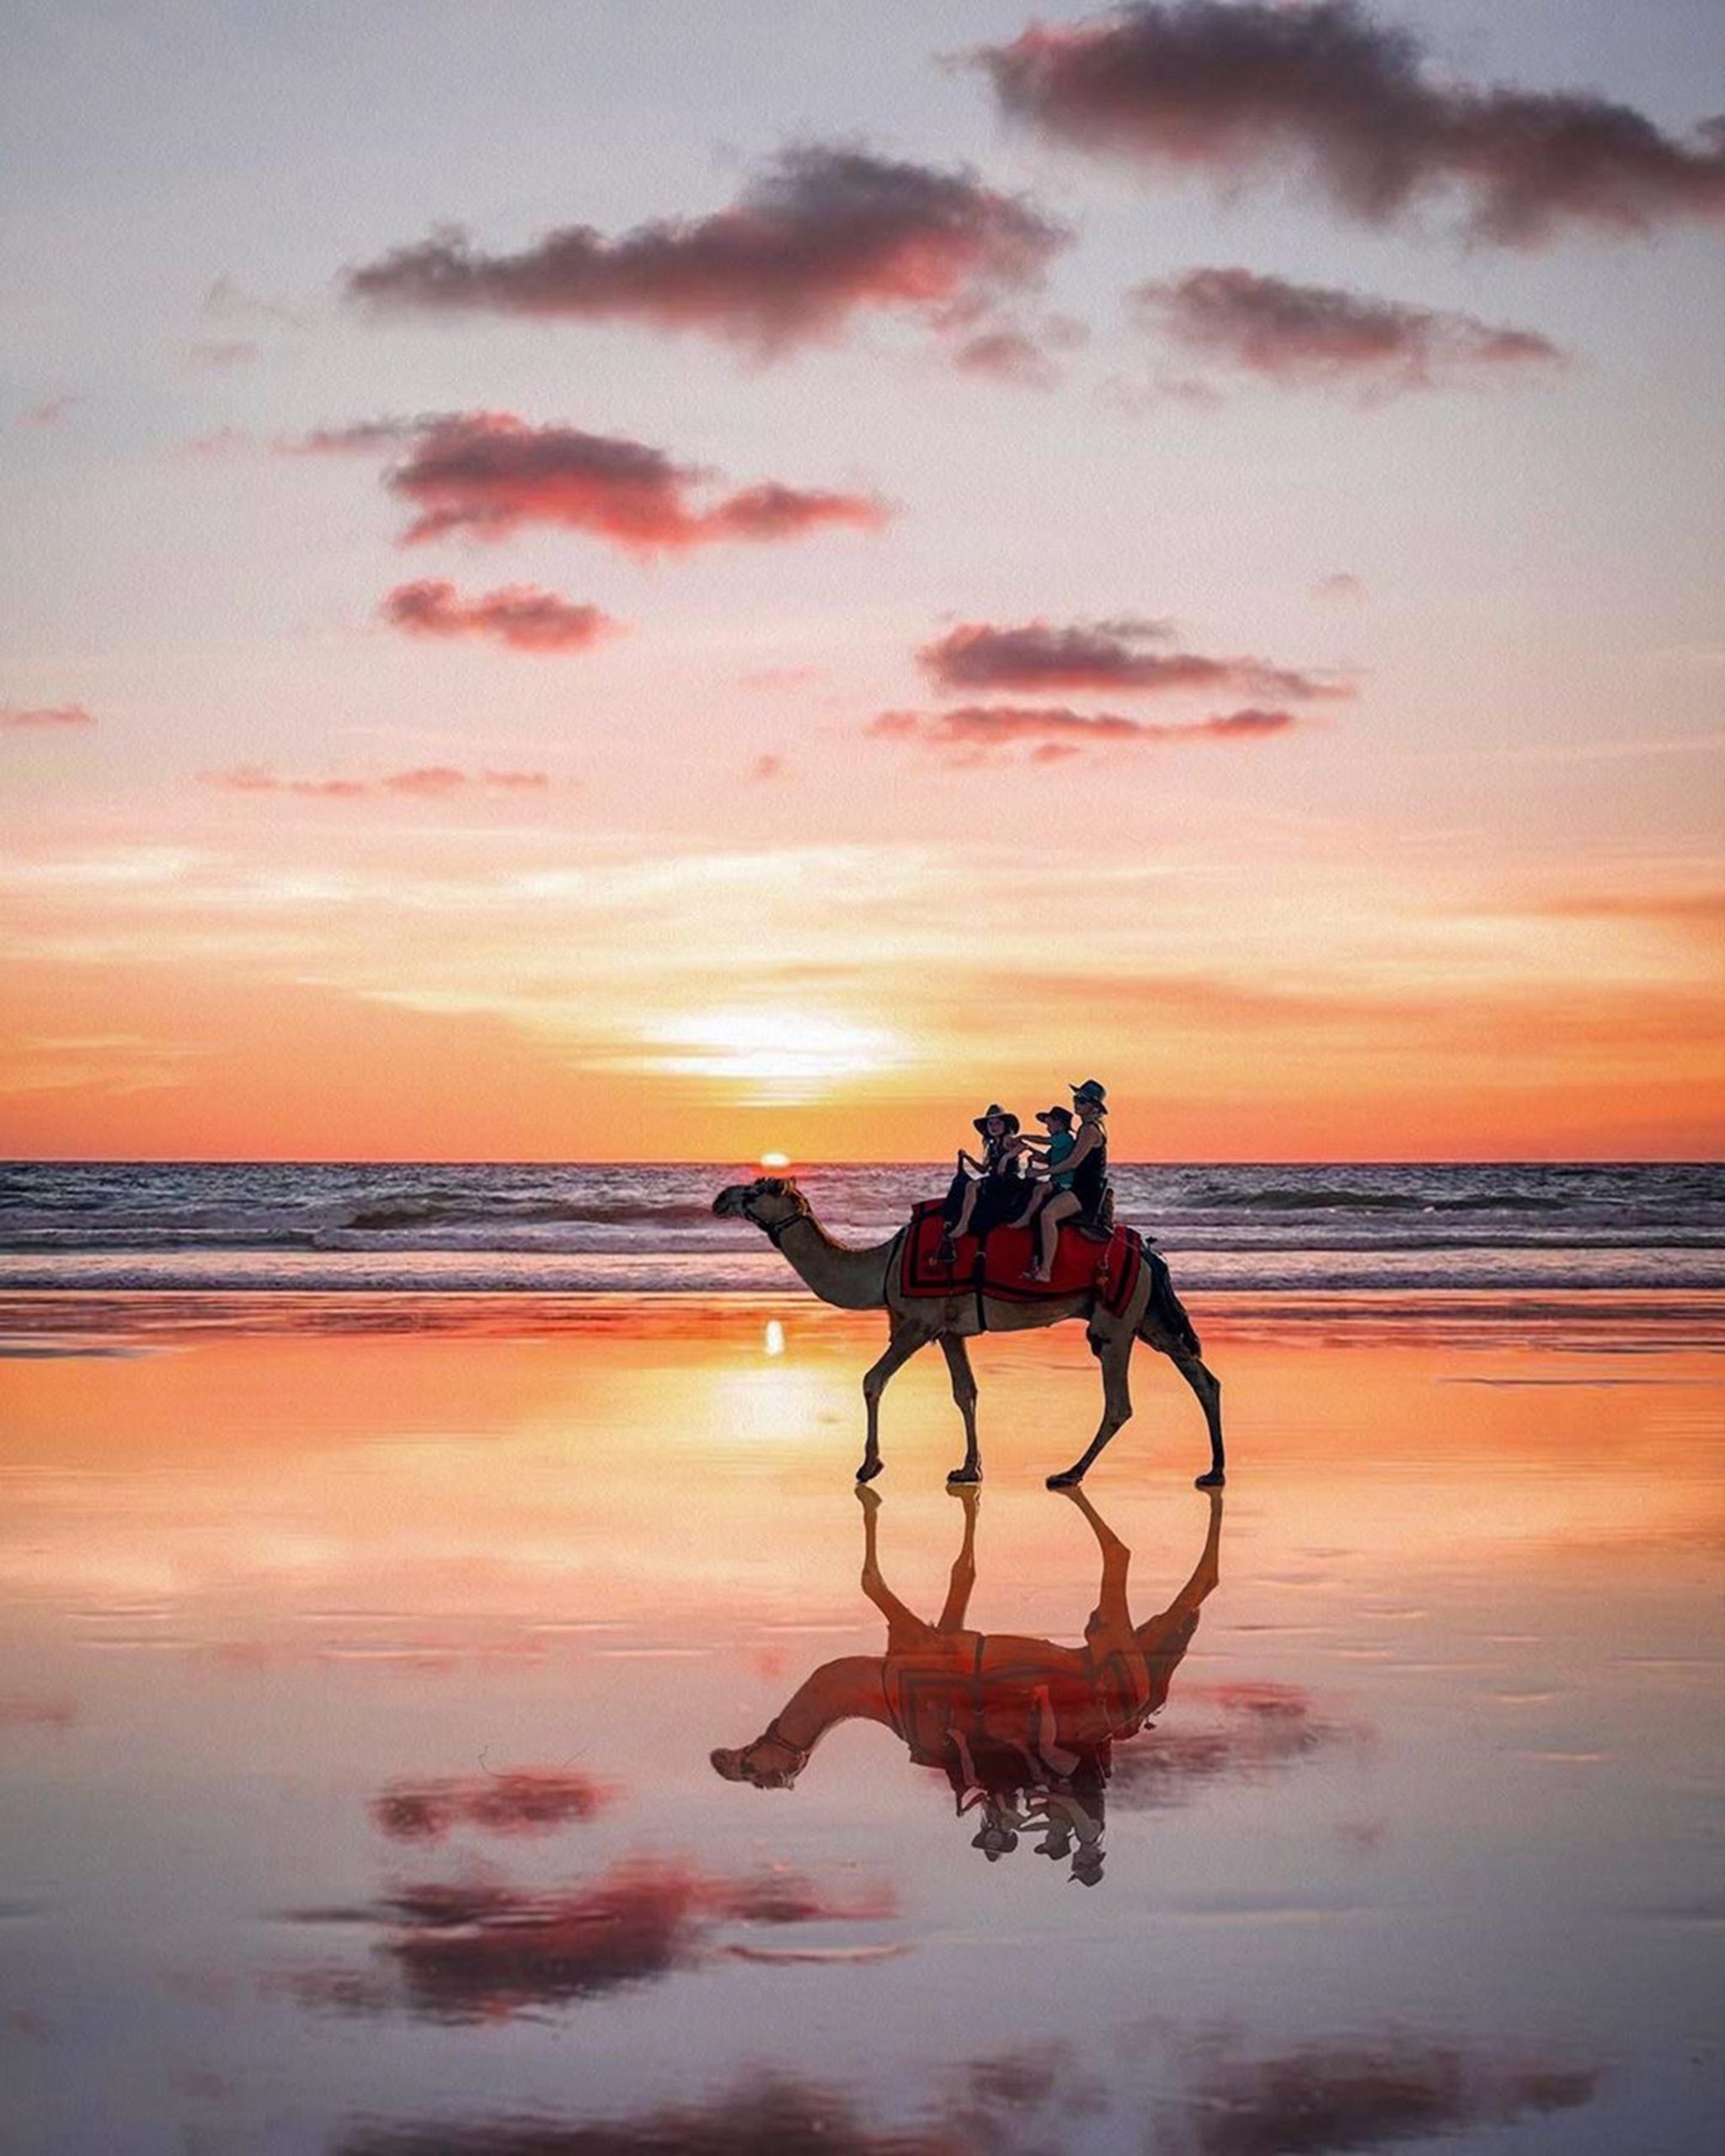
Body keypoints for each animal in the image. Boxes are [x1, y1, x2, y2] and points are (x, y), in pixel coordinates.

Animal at [707, 1483, 1215, 1888]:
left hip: (1113, 1654)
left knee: (1125, 1562)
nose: (718, 1760)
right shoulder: (945, 1629)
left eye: (753, 1772)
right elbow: (961, 1573)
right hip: (1120, 1657)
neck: (878, 1693)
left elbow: (873, 1580)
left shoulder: (919, 1637)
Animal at [715, 1181, 1225, 1483]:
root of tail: (1151, 1254)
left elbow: (872, 1380)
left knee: (1119, 1402)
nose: (721, 1197)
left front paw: (869, 1465)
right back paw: (1214, 1472)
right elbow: (966, 1392)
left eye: (758, 1189)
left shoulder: (918, 1323)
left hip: (1115, 1323)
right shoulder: (948, 1330)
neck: (883, 1266)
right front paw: (968, 1469)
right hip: (1149, 1319)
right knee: (1203, 1379)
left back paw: (1069, 1473)